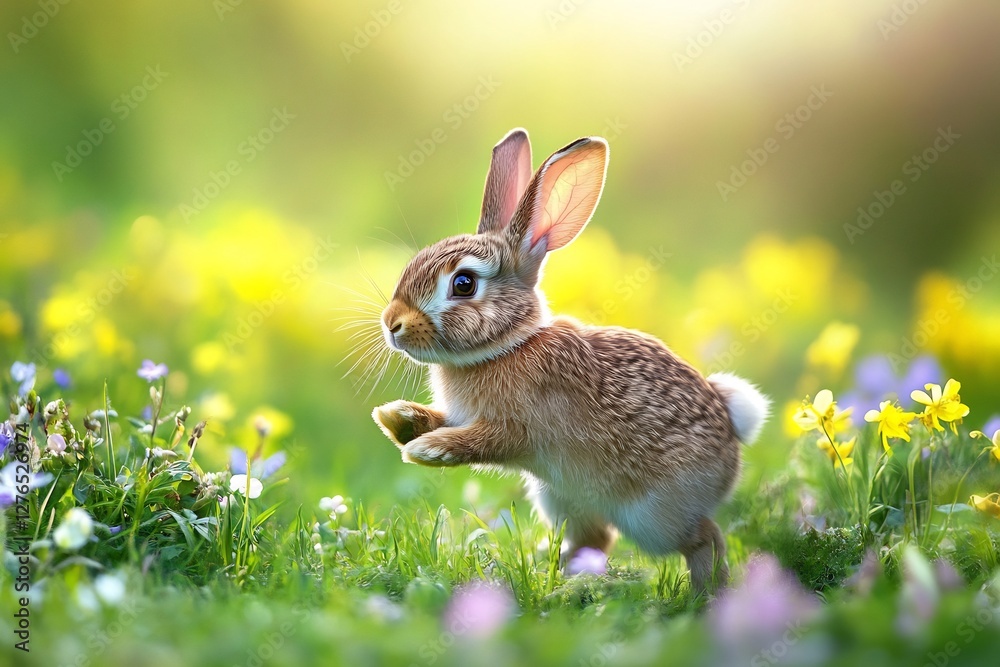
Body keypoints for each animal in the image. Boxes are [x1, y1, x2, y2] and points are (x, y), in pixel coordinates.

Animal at [371, 128, 770, 591]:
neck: (509, 346)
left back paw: (705, 596)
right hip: (561, 498)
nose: (392, 324)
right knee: (594, 539)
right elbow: (441, 419)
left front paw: (428, 450)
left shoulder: (521, 427)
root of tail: (733, 429)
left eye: (464, 283)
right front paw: (397, 419)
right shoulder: (465, 416)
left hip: (652, 515)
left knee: (705, 537)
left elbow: (482, 441)